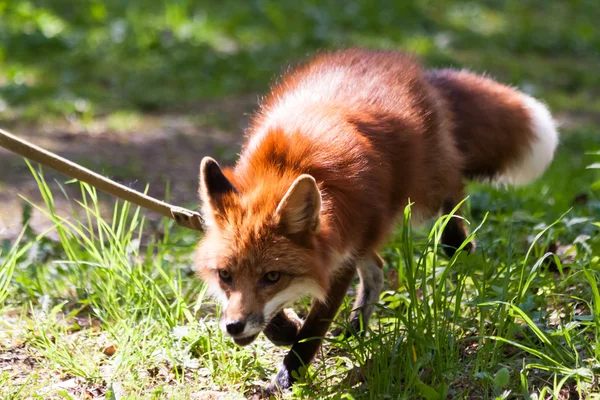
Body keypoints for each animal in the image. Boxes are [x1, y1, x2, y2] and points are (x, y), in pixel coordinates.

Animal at [195, 48, 560, 392]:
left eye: (272, 276)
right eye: (225, 275)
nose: (233, 327)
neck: (288, 163)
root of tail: (407, 65)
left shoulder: (339, 260)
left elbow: (311, 333)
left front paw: (286, 378)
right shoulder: (337, 247)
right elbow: (279, 320)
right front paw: (285, 329)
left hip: (421, 198)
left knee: (453, 189)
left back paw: (457, 244)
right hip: (370, 227)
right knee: (378, 268)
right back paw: (355, 328)